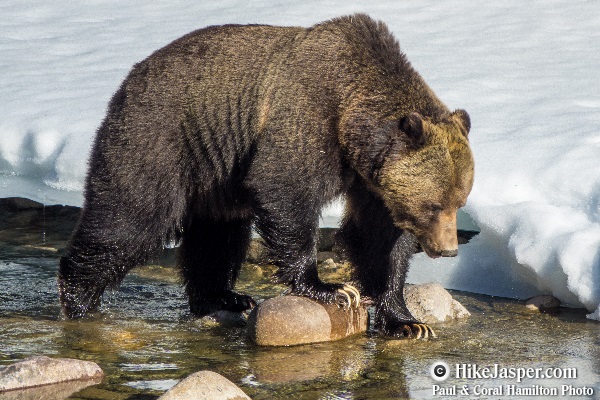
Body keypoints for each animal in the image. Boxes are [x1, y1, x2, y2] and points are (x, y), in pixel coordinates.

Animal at [59, 13, 474, 338]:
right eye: (433, 204)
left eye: (459, 201)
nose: (448, 249)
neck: (353, 127)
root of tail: (129, 80)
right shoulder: (307, 122)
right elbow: (285, 191)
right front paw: (332, 288)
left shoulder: (371, 181)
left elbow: (380, 241)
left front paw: (408, 322)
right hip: (160, 140)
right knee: (131, 220)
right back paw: (77, 298)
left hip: (214, 177)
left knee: (218, 236)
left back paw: (225, 296)